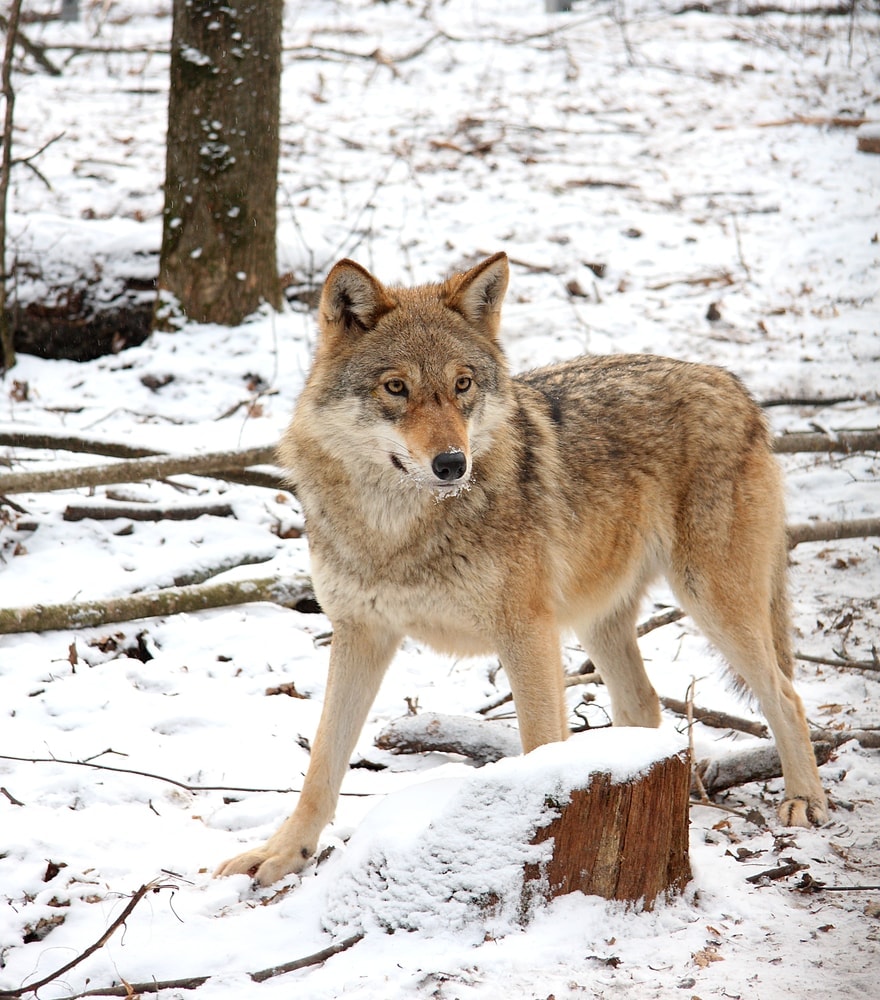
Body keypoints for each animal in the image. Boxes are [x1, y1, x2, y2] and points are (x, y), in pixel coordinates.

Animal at [216, 252, 828, 885]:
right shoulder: (360, 633)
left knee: (787, 696)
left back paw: (804, 800)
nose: (452, 463)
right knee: (645, 703)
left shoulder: (525, 632)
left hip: (710, 602)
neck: (397, 529)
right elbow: (322, 763)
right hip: (596, 621)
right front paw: (282, 854)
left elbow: (538, 751)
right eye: (396, 387)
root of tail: (732, 383)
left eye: (462, 384)